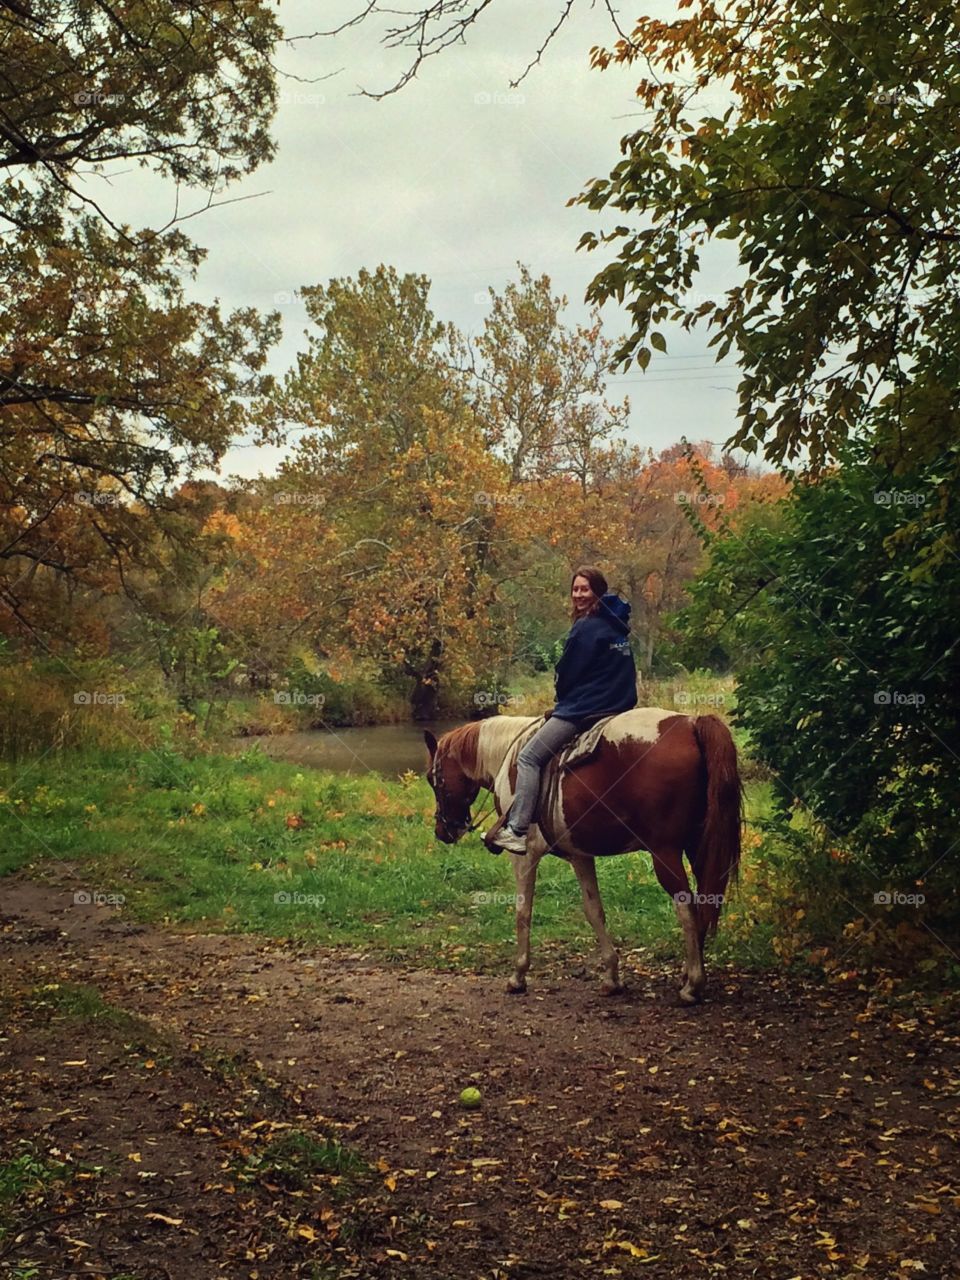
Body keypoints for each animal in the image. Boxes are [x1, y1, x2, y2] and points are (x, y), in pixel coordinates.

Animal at [424, 706, 747, 1003]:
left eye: (431, 778)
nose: (443, 831)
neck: (509, 755)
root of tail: (691, 723)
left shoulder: (525, 856)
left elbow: (522, 912)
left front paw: (518, 976)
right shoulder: (580, 855)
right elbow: (594, 911)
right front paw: (611, 978)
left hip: (664, 852)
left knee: (687, 908)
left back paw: (693, 986)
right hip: (699, 846)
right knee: (705, 901)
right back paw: (688, 974)